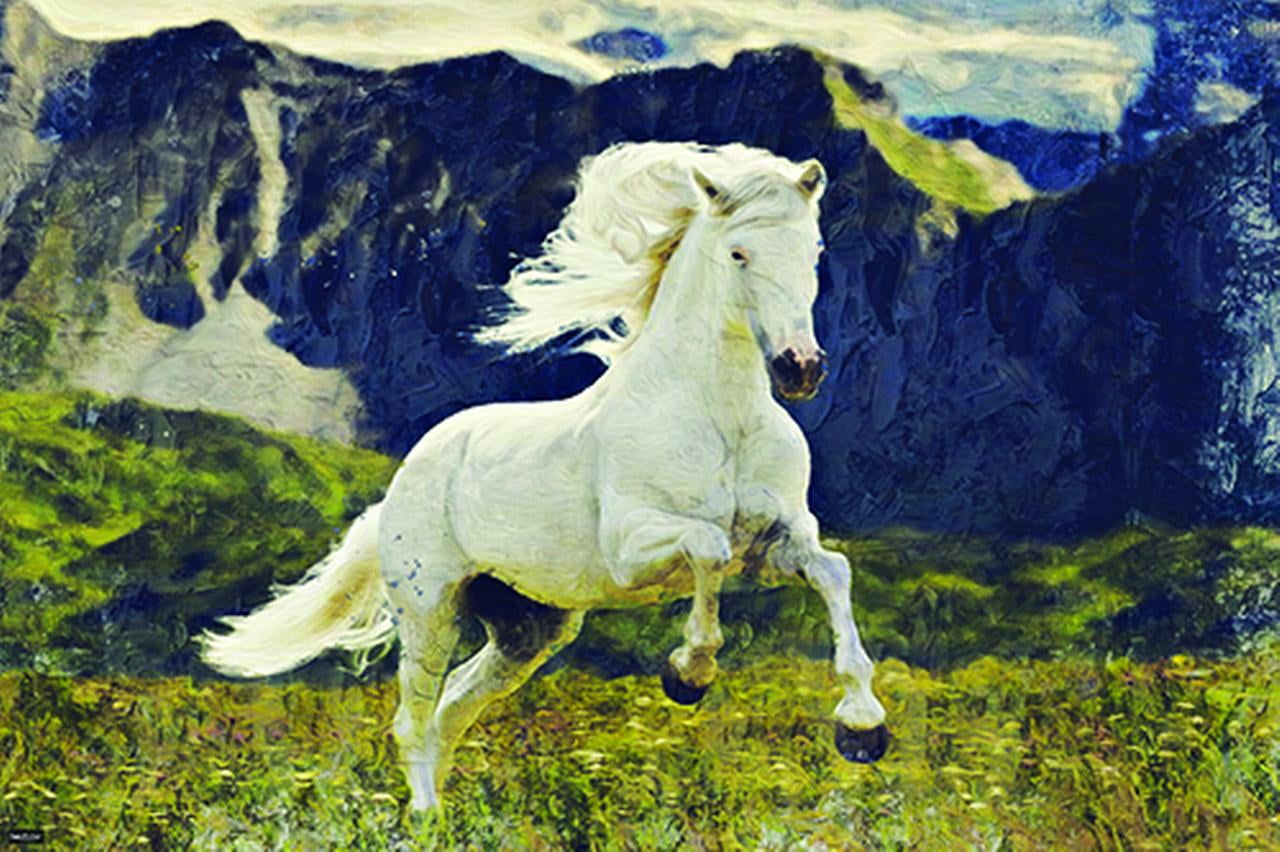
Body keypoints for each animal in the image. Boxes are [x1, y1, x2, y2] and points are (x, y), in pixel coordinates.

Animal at [199, 140, 890, 811]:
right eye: (739, 252)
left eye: (815, 250)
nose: (801, 368)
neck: (722, 419)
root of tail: (398, 486)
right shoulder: (632, 550)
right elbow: (708, 548)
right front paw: (688, 674)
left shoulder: (778, 541)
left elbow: (833, 571)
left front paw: (862, 727)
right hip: (430, 610)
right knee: (414, 721)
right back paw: (424, 822)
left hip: (530, 630)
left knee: (454, 708)